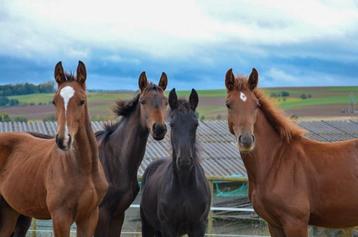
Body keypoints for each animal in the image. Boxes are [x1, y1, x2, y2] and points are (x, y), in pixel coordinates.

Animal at [0, 61, 107, 237]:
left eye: (82, 101)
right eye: (54, 101)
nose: (63, 140)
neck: (84, 169)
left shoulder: (89, 216)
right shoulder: (60, 217)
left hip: (9, 211)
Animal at [141, 88, 213, 237]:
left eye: (195, 124)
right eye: (172, 124)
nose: (184, 161)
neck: (184, 185)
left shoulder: (199, 226)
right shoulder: (168, 227)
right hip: (148, 226)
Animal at [225, 67, 358, 236]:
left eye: (256, 105)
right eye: (228, 105)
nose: (247, 140)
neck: (275, 162)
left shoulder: (295, 223)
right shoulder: (274, 224)